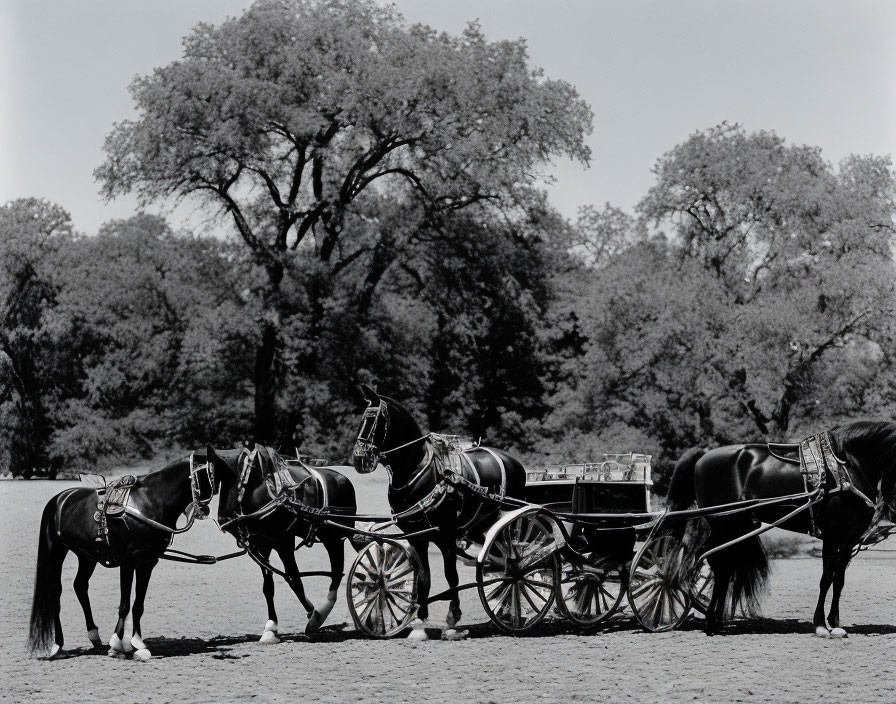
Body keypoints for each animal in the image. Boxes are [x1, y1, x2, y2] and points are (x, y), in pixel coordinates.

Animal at [28, 452, 219, 660]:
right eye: (210, 473)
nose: (205, 510)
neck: (150, 502)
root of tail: (59, 499)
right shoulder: (128, 562)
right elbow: (125, 604)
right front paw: (117, 644)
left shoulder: (148, 562)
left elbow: (138, 605)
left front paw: (137, 644)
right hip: (56, 550)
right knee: (55, 591)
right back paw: (58, 645)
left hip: (86, 556)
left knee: (80, 586)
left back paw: (94, 636)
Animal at [205, 446, 356, 644]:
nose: (224, 518)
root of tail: (343, 479)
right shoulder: (261, 545)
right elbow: (269, 586)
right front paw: (271, 628)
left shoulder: (284, 542)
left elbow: (295, 580)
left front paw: (313, 615)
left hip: (333, 537)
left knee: (337, 571)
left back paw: (324, 611)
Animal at [352, 384, 532, 640]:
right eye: (361, 420)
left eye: (372, 420)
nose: (359, 458)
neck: (415, 471)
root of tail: (515, 463)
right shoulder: (418, 537)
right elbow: (423, 578)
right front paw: (419, 623)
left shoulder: (446, 534)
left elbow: (451, 576)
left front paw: (452, 620)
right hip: (481, 527)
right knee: (503, 562)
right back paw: (508, 608)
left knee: (517, 560)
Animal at [668, 420, 896, 636]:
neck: (846, 467)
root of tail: (703, 455)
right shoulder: (832, 536)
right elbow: (826, 579)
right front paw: (821, 625)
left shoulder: (849, 537)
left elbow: (838, 580)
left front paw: (835, 622)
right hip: (723, 525)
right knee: (714, 562)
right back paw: (709, 620)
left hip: (735, 527)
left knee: (723, 567)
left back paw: (714, 620)